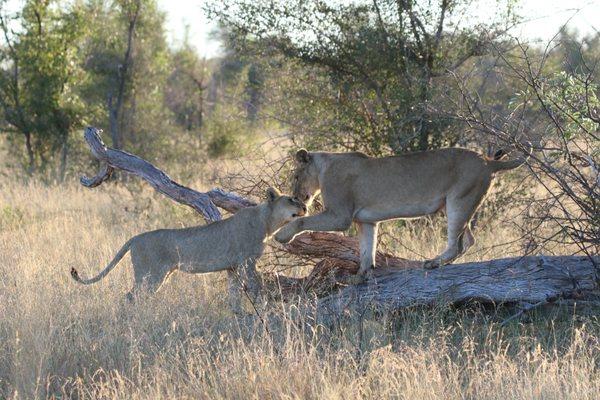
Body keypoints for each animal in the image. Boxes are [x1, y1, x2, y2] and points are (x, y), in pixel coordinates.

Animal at [71, 188, 308, 312]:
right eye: (291, 199)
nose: (306, 207)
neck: (268, 221)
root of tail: (136, 237)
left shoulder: (232, 267)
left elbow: (234, 293)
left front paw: (238, 314)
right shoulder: (247, 262)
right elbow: (256, 287)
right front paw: (264, 308)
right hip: (150, 275)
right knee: (129, 297)